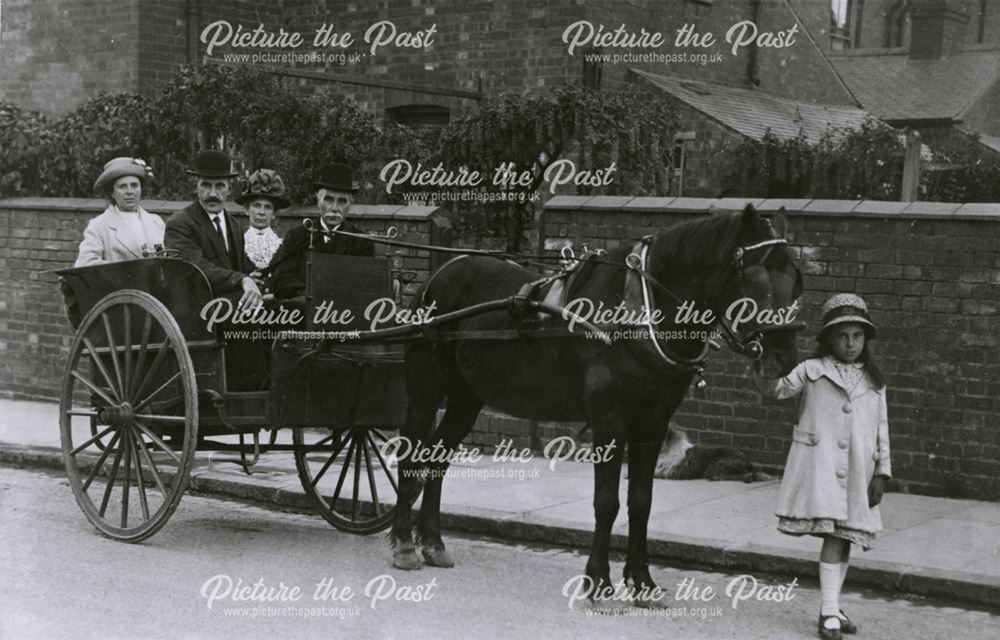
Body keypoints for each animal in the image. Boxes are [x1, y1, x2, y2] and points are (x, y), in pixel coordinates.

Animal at [386, 205, 800, 604]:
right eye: (757, 278)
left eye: (796, 277)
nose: (782, 359)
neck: (638, 310)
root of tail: (440, 273)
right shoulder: (609, 420)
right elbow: (607, 502)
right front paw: (599, 581)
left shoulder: (653, 424)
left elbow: (641, 501)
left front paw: (642, 582)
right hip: (425, 388)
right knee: (410, 454)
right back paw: (405, 544)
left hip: (466, 397)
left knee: (437, 459)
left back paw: (433, 543)